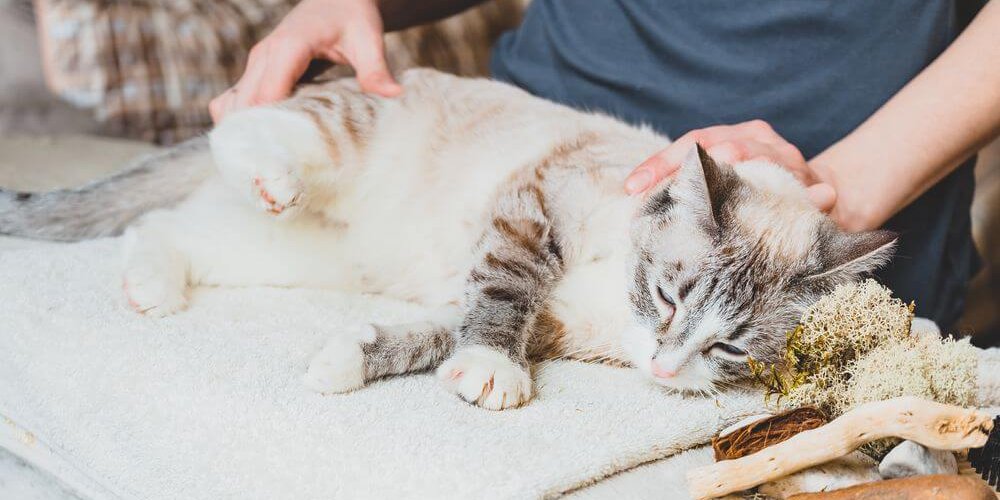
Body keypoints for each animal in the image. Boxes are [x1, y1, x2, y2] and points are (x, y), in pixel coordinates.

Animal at [0, 68, 892, 408]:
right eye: (669, 296)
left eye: (730, 349)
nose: (669, 368)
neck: (612, 306)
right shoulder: (535, 204)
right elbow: (503, 288)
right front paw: (492, 369)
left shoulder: (552, 327)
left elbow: (437, 329)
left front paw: (345, 363)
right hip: (337, 129)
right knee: (242, 124)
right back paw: (273, 174)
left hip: (296, 257)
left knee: (161, 225)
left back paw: (150, 285)